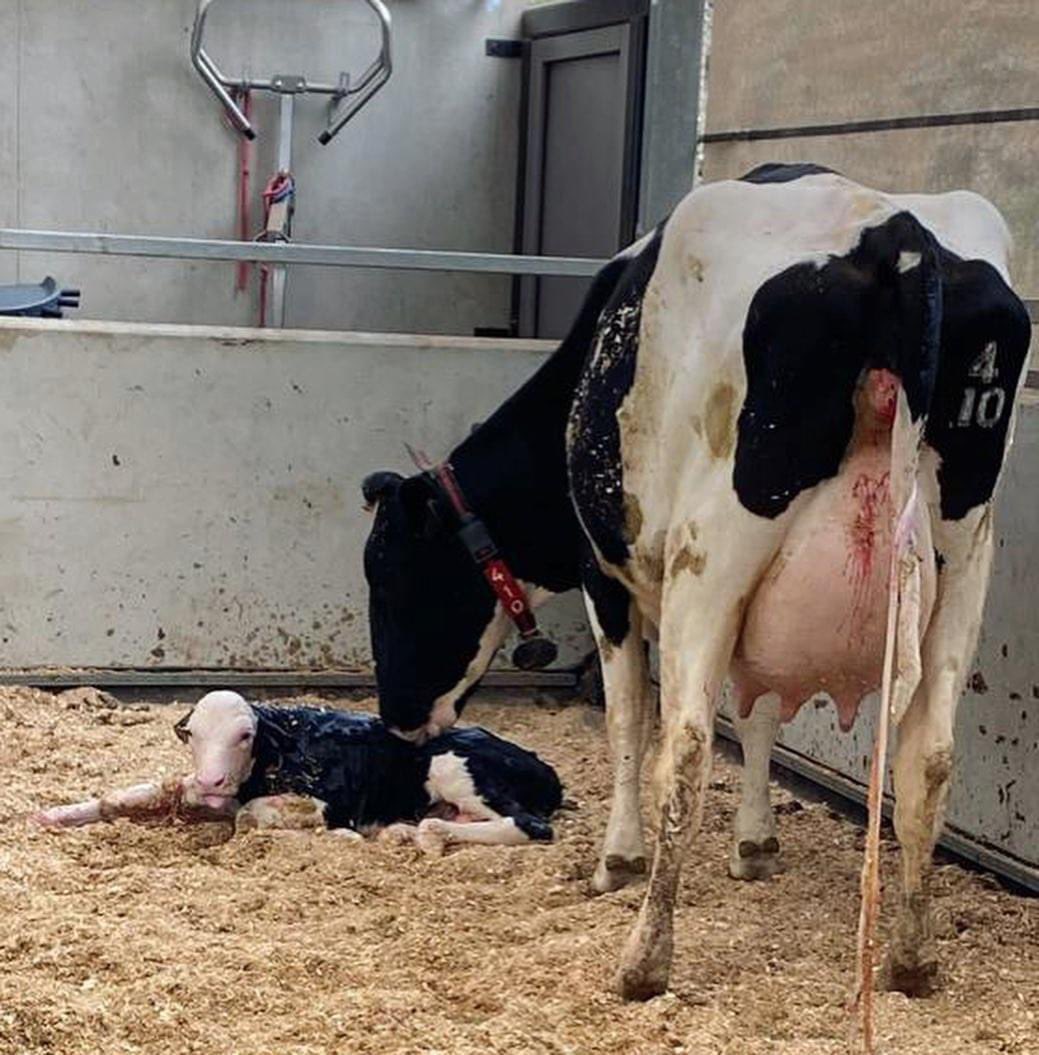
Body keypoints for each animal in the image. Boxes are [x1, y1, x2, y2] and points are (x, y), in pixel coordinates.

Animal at [33, 690, 563, 851]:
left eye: (244, 735)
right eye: (192, 735)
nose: (212, 780)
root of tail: (544, 767)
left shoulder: (334, 801)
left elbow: (251, 815)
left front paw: (342, 835)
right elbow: (131, 795)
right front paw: (57, 815)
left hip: (457, 769)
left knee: (528, 825)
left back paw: (419, 836)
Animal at [362, 163, 1031, 999]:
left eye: (387, 577)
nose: (396, 717)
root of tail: (895, 234)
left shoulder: (604, 575)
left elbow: (631, 718)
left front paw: (618, 858)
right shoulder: (770, 611)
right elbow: (761, 712)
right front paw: (754, 844)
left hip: (710, 555)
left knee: (681, 745)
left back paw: (643, 958)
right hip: (962, 559)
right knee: (930, 756)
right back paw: (911, 958)